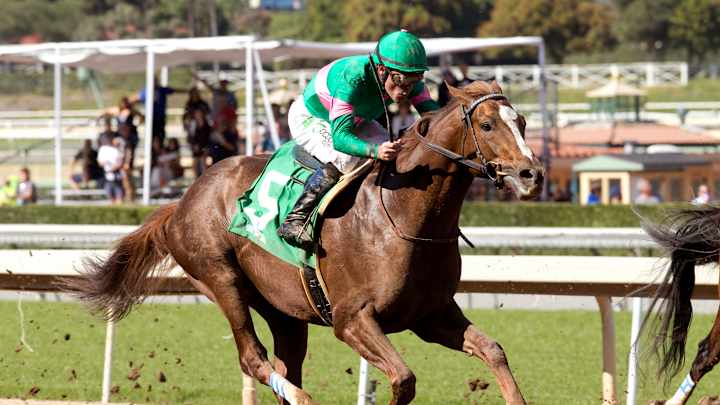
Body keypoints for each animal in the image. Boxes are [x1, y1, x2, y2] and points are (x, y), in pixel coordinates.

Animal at [65, 80, 543, 405]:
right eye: (487, 124)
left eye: (522, 122)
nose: (531, 174)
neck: (404, 213)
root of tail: (182, 200)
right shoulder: (352, 319)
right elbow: (403, 379)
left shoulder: (431, 314)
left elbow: (494, 351)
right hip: (220, 278)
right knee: (253, 358)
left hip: (283, 309)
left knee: (285, 364)